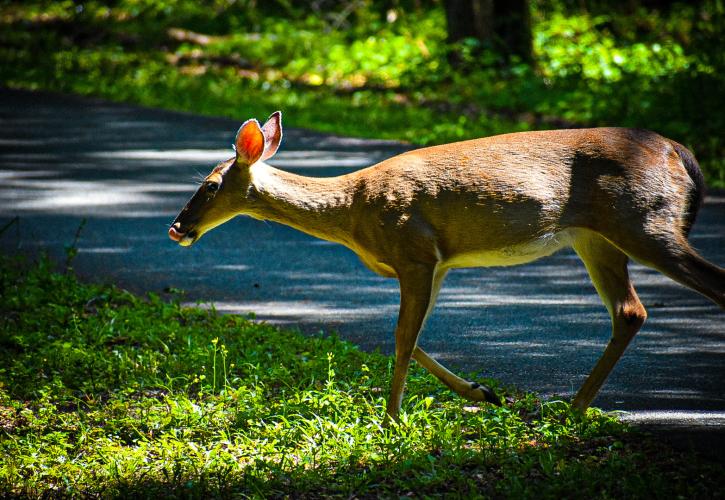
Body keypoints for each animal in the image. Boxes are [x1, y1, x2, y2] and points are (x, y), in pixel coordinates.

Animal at [168, 111, 724, 420]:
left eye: (209, 185)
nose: (177, 228)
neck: (353, 210)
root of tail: (679, 152)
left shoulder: (413, 251)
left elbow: (401, 338)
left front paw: (391, 419)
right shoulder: (436, 264)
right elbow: (412, 339)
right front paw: (483, 393)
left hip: (644, 221)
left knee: (709, 285)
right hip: (598, 237)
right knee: (630, 312)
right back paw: (571, 408)